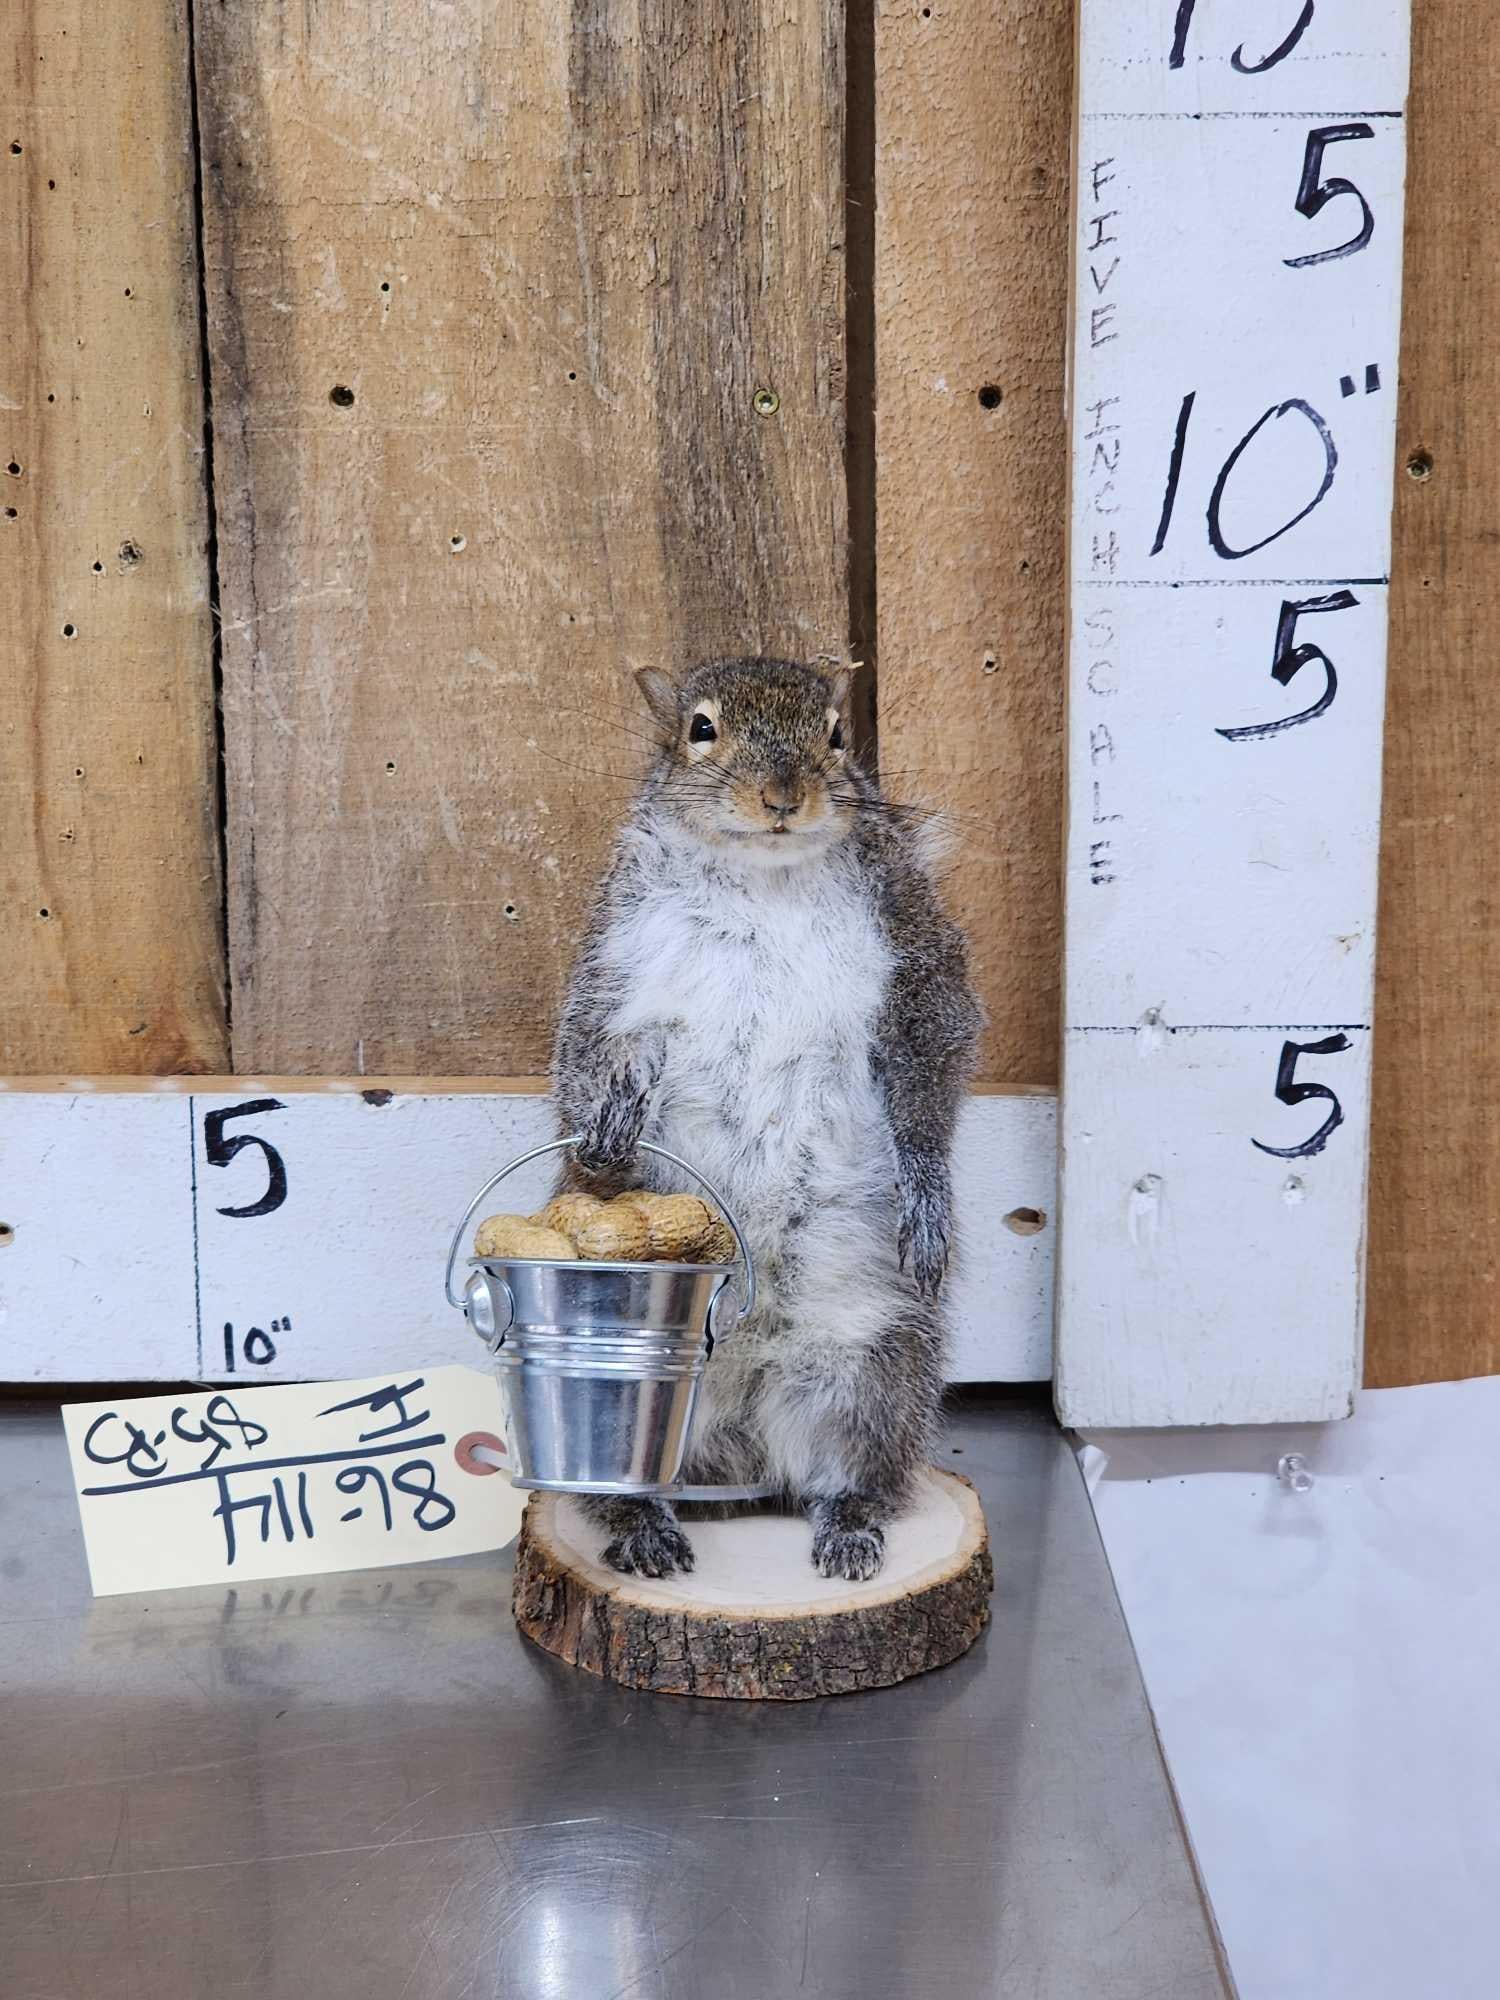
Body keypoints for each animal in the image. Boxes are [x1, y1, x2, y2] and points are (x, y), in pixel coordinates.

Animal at [552, 656, 982, 1583]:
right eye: (700, 729)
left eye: (838, 734)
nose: (783, 794)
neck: (764, 875)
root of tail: (738, 1444)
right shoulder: (615, 962)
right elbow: (585, 1051)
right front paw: (603, 1142)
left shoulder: (916, 950)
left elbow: (934, 1069)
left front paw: (927, 1200)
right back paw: (642, 1524)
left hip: (878, 1373)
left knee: (851, 1473)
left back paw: (848, 1525)